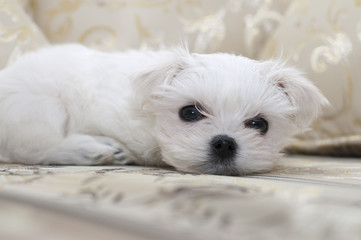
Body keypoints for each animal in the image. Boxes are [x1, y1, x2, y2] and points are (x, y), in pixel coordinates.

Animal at [0, 44, 328, 175]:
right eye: (190, 113)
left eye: (260, 124)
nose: (224, 143)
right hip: (39, 104)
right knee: (34, 144)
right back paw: (89, 149)